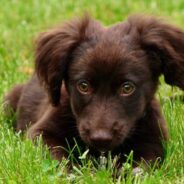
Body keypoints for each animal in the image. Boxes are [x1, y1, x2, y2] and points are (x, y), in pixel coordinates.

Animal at [4, 15, 184, 165]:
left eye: (127, 88)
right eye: (83, 86)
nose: (100, 139)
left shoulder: (154, 140)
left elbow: (143, 165)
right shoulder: (41, 133)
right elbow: (58, 159)